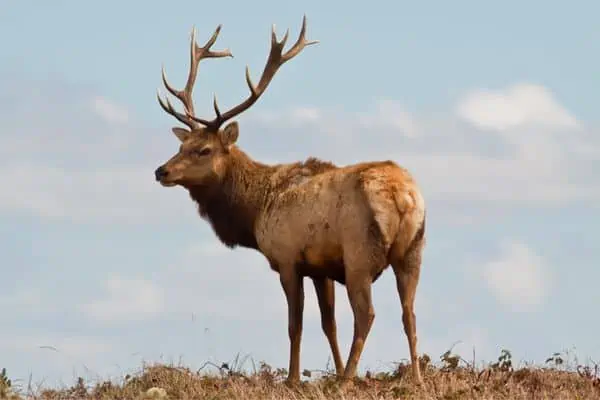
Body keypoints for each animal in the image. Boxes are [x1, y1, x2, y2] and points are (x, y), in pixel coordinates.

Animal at [155, 14, 426, 384]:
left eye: (204, 149)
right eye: (181, 145)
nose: (161, 171)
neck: (254, 212)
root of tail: (404, 197)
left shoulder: (287, 258)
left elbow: (294, 325)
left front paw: (294, 379)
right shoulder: (320, 268)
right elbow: (329, 324)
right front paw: (329, 371)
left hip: (359, 252)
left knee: (367, 314)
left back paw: (348, 379)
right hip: (412, 250)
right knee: (409, 313)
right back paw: (415, 377)